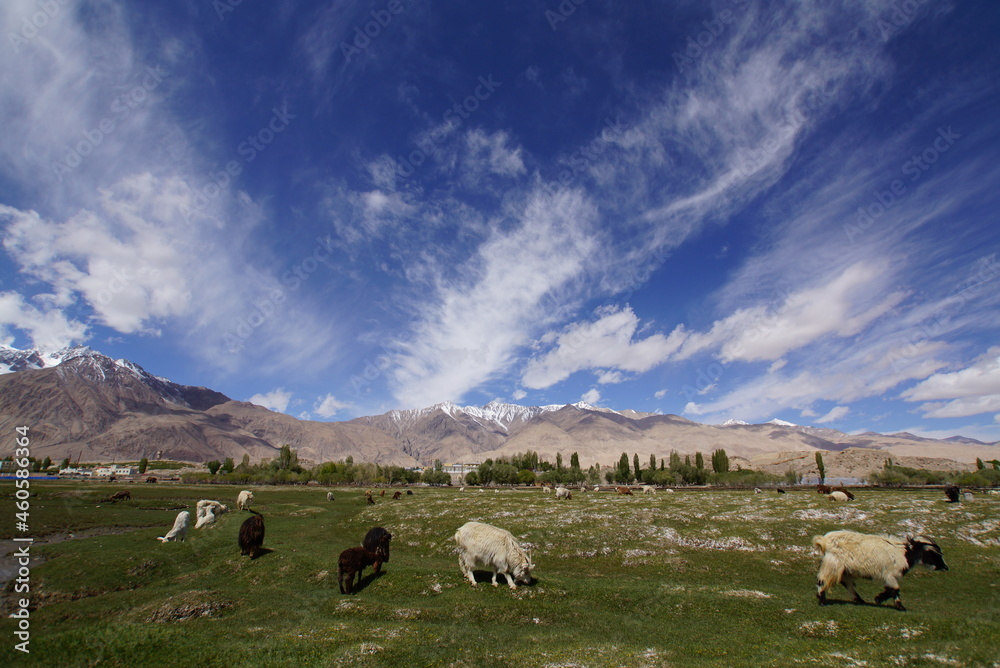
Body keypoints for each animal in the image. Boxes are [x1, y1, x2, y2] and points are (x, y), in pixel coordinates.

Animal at [812, 528, 944, 612]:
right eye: (931, 553)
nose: (945, 567)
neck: (903, 553)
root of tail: (824, 541)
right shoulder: (889, 574)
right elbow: (895, 588)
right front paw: (895, 605)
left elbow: (892, 589)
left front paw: (884, 600)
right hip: (833, 564)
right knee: (823, 580)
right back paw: (822, 601)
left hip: (843, 569)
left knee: (847, 583)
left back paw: (860, 600)